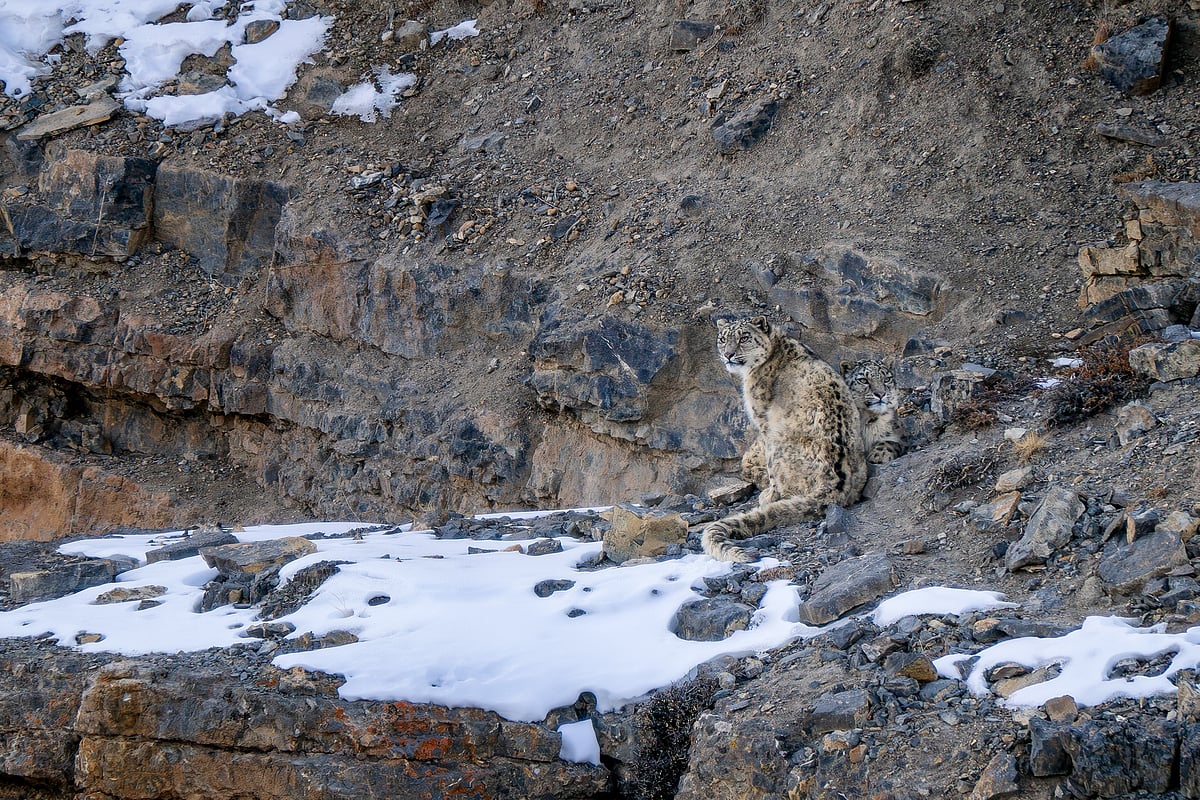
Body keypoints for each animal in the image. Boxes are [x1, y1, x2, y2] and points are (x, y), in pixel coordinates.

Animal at [703, 315, 868, 562]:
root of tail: (836, 487)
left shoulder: (762, 419)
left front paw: (768, 494)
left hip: (777, 445)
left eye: (744, 337)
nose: (728, 354)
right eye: (723, 339)